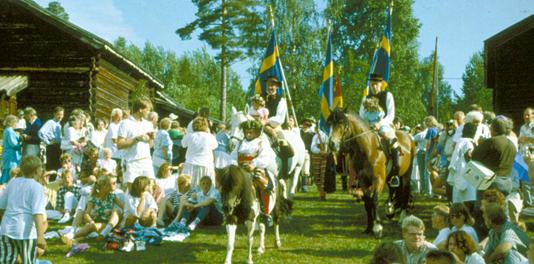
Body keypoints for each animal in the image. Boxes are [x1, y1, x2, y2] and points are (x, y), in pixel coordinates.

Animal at [326, 107, 418, 237]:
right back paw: (390, 208)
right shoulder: (363, 181)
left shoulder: (378, 179)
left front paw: (378, 227)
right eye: (330, 124)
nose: (332, 144)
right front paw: (369, 227)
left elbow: (374, 200)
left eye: (342, 123)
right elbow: (367, 202)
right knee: (393, 189)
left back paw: (402, 219)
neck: (368, 148)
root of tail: (409, 137)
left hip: (406, 175)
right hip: (391, 177)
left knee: (405, 192)